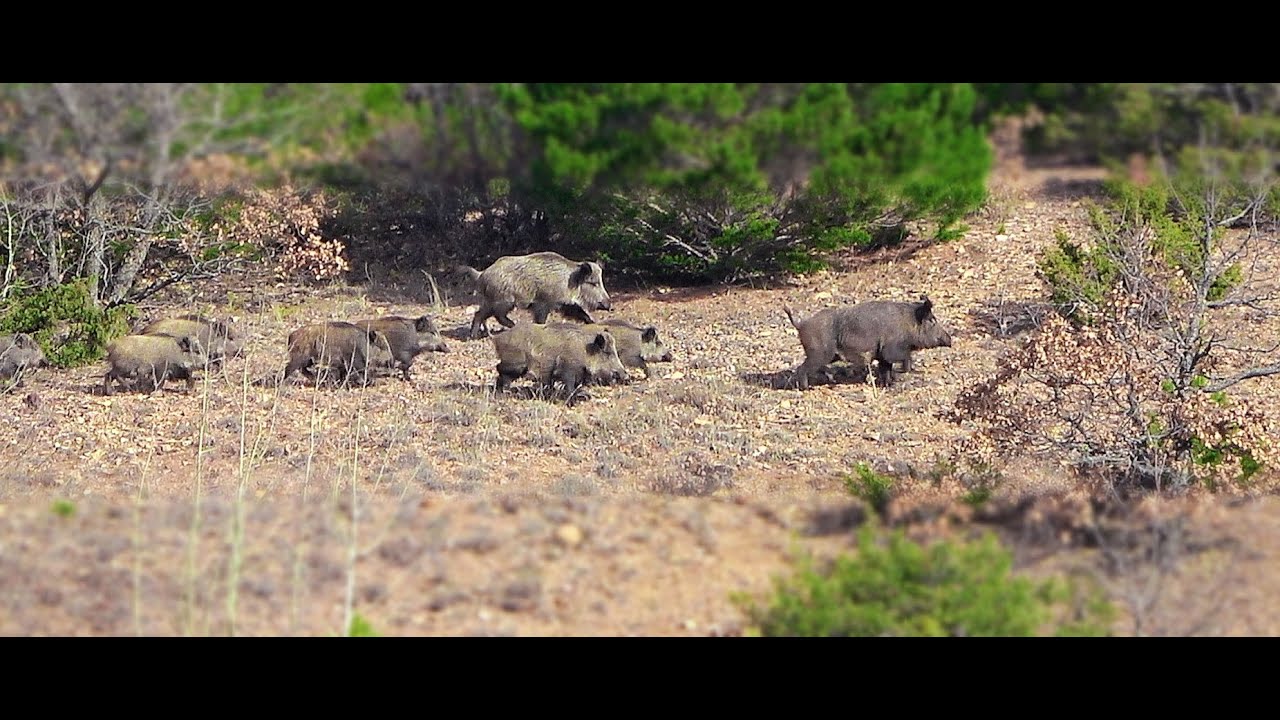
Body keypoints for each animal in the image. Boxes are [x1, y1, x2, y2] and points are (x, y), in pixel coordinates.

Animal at [456, 251, 613, 339]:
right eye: (593, 283)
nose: (609, 305)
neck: (569, 281)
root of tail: (481, 274)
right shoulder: (543, 303)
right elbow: (540, 320)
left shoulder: (566, 304)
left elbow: (580, 313)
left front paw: (594, 323)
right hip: (503, 301)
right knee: (493, 315)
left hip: (491, 301)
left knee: (480, 314)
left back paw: (481, 335)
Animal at [491, 322, 628, 402]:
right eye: (607, 353)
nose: (626, 375)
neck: (585, 352)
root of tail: (497, 338)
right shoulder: (567, 369)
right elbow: (570, 387)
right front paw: (572, 401)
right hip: (515, 365)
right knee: (500, 370)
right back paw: (503, 393)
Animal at [784, 296, 953, 390]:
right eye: (932, 320)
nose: (950, 339)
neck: (908, 323)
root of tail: (801, 324)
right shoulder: (891, 349)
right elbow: (904, 358)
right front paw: (907, 372)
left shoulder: (883, 356)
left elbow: (886, 370)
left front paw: (888, 384)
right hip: (818, 353)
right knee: (801, 369)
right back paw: (806, 389)